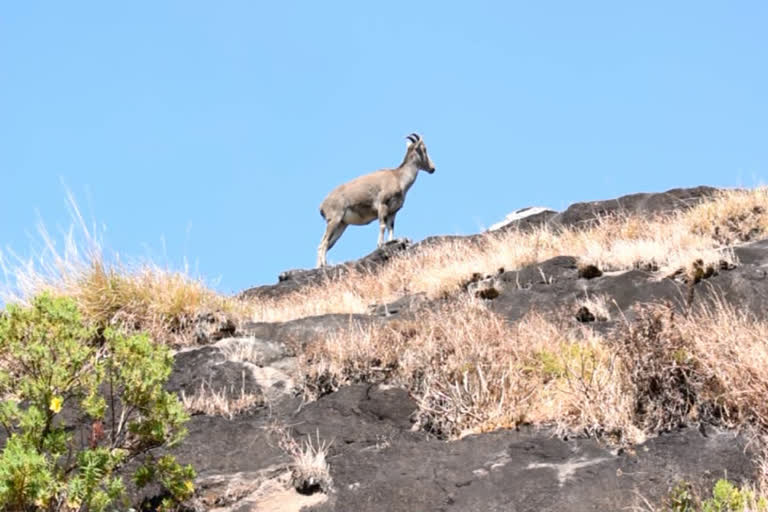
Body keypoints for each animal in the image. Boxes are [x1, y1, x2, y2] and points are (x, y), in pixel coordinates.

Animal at [318, 132, 438, 268]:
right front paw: (380, 245)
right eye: (424, 149)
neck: (399, 179)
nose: (432, 168)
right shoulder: (382, 205)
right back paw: (323, 265)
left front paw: (391, 242)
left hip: (342, 225)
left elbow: (391, 228)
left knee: (327, 244)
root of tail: (322, 206)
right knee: (323, 243)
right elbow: (382, 225)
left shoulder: (393, 212)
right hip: (334, 220)